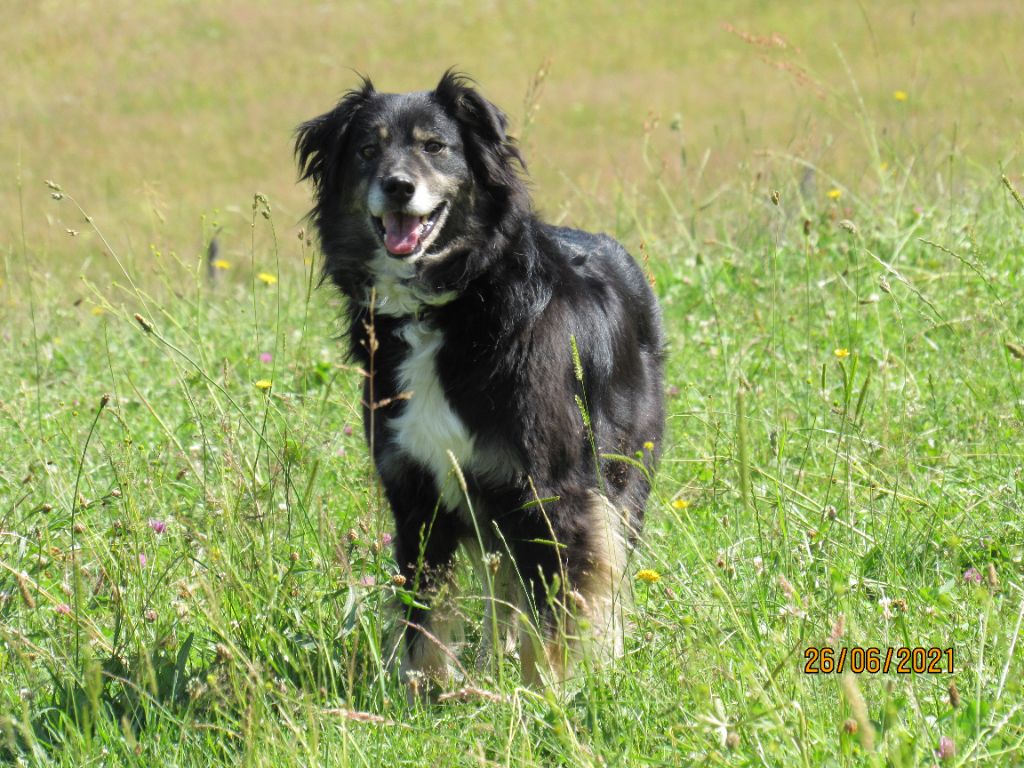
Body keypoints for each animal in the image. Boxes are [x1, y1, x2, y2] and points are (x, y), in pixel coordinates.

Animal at [295, 71, 664, 691]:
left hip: (620, 471)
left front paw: (546, 693)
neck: (453, 304)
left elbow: (554, 612)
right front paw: (426, 693)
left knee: (606, 567)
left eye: (435, 146)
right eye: (367, 149)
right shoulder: (416, 490)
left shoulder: (550, 491)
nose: (397, 187)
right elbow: (425, 609)